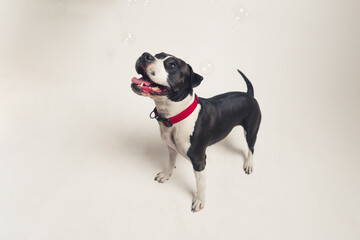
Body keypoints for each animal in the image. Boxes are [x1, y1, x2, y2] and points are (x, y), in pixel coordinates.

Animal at [131, 52, 260, 212]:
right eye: (157, 55)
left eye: (172, 65)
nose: (145, 55)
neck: (176, 116)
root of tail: (250, 95)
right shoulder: (171, 148)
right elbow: (170, 163)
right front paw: (166, 174)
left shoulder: (199, 161)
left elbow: (201, 184)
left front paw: (200, 200)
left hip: (251, 131)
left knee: (251, 148)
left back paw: (249, 164)